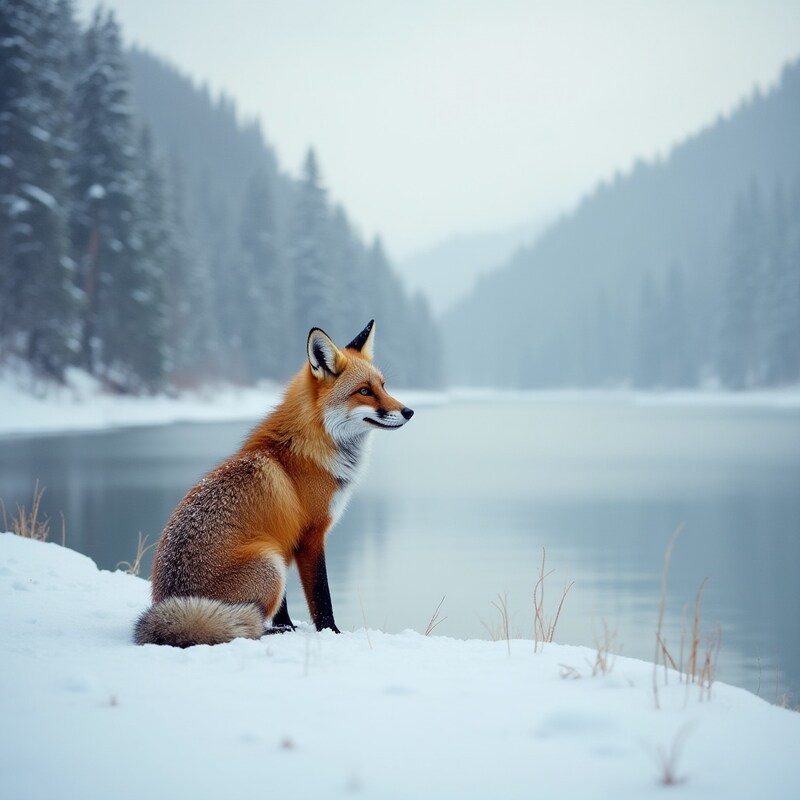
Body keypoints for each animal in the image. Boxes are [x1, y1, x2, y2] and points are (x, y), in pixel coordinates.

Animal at [134, 320, 413, 647]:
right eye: (364, 391)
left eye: (383, 386)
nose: (409, 411)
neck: (311, 445)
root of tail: (168, 601)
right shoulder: (310, 536)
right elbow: (322, 598)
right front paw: (331, 633)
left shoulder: (284, 538)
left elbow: (284, 608)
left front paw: (290, 626)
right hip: (270, 564)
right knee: (249, 622)